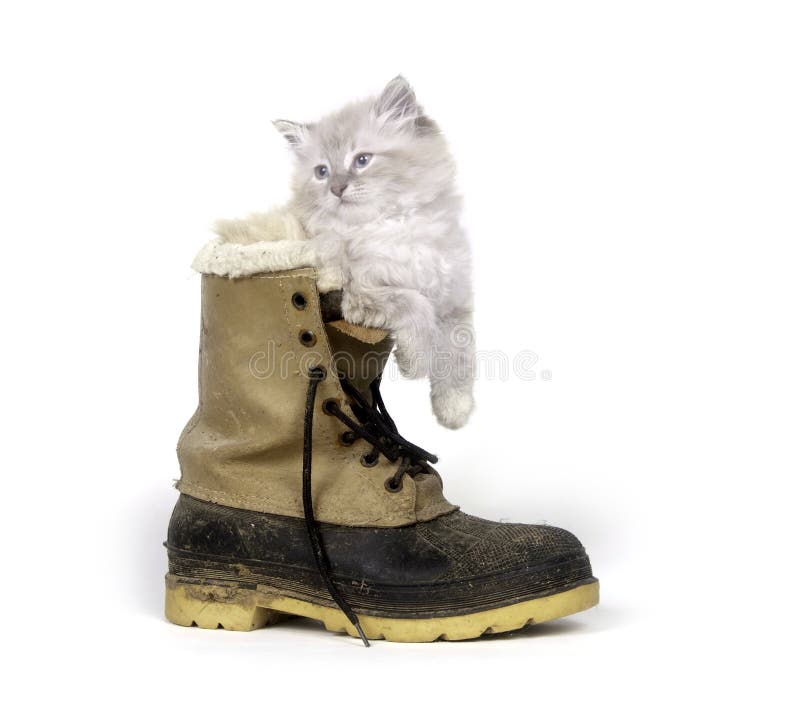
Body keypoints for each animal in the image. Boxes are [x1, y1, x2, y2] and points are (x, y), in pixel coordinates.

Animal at [225, 77, 476, 428]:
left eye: (362, 160)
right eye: (322, 172)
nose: (337, 189)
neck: (394, 225)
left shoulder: (452, 299)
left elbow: (460, 355)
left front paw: (454, 409)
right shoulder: (362, 296)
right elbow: (416, 309)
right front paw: (413, 362)